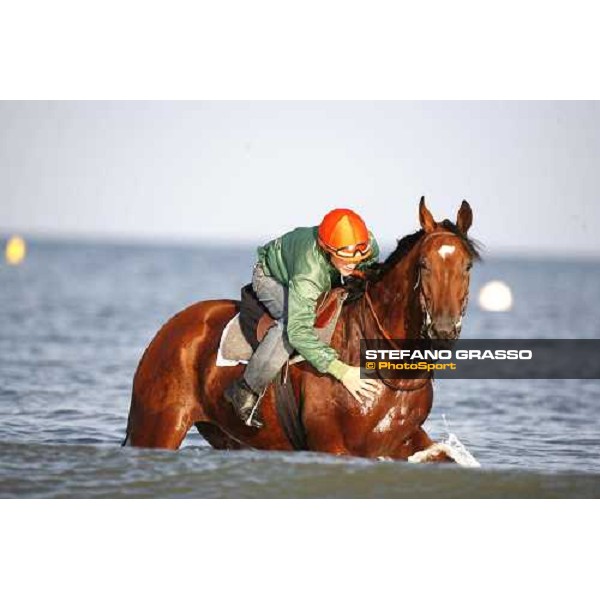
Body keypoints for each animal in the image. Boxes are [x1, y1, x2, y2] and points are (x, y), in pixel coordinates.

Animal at [122, 199, 478, 462]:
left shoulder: (404, 440)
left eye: (467, 266)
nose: (444, 329)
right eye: (424, 265)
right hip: (158, 427)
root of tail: (169, 328)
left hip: (225, 434)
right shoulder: (332, 443)